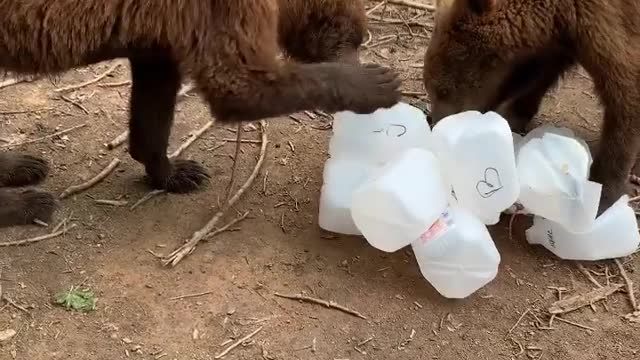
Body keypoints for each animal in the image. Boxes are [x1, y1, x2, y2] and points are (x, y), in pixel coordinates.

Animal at [0, 0, 400, 226]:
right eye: (353, 36)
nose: (359, 57)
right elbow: (240, 84)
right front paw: (377, 83)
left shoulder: (156, 32)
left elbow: (154, 102)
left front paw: (175, 172)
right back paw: (28, 203)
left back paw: (22, 165)